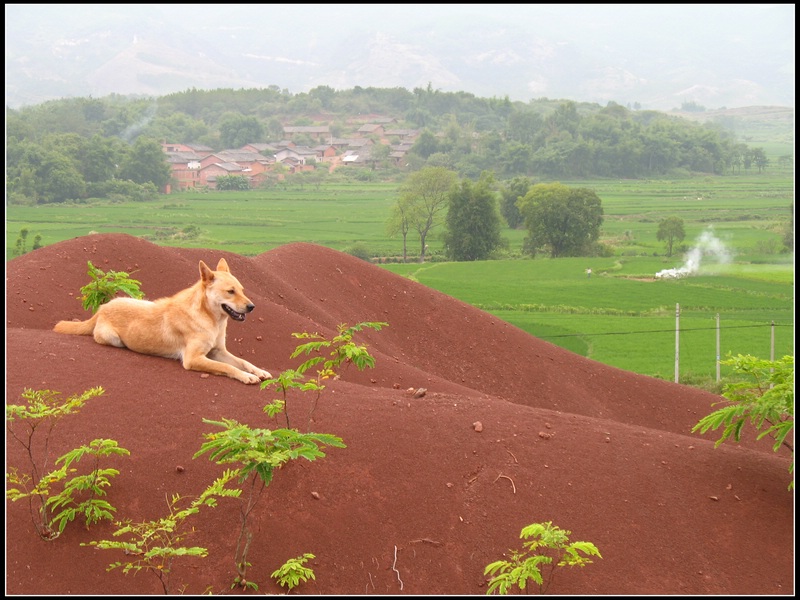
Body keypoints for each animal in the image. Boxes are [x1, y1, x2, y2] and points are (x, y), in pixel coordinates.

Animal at [54, 258, 272, 384]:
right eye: (230, 291)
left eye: (242, 290)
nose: (252, 306)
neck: (210, 319)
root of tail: (102, 309)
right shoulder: (193, 358)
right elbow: (228, 367)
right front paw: (247, 376)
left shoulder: (218, 351)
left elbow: (243, 361)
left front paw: (259, 371)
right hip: (113, 338)